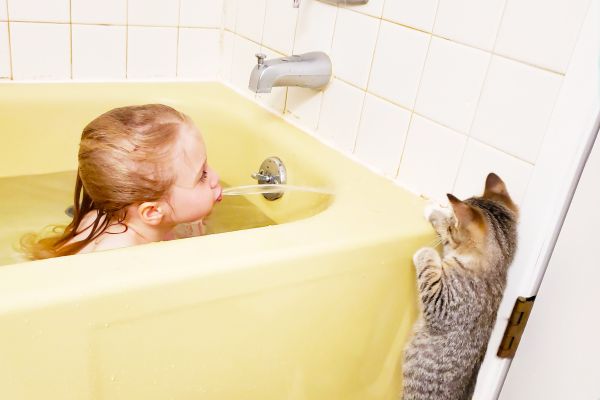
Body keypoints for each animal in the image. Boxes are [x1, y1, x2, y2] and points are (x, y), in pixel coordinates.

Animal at [400, 173, 516, 400]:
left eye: (453, 225)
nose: (451, 219)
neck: (498, 269)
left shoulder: (444, 305)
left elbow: (433, 263)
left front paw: (428, 247)